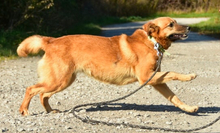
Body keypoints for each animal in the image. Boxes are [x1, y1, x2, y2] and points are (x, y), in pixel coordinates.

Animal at [17, 17, 199, 116]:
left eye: (175, 23)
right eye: (171, 24)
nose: (190, 27)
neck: (151, 41)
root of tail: (51, 41)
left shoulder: (156, 80)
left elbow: (174, 98)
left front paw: (189, 108)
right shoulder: (146, 77)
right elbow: (173, 73)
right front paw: (189, 76)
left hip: (63, 81)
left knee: (43, 95)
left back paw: (49, 110)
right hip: (58, 80)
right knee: (31, 89)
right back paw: (24, 110)